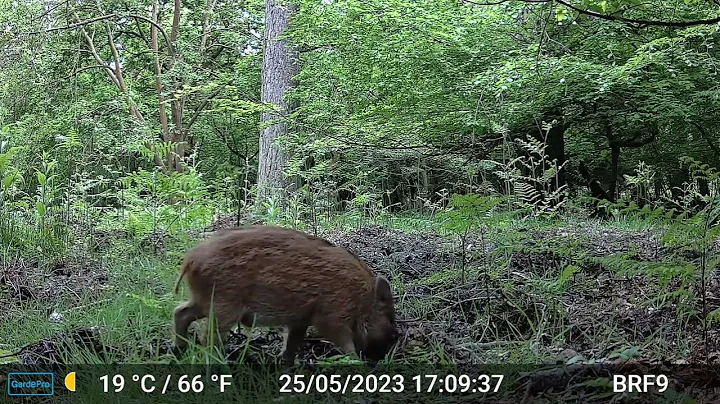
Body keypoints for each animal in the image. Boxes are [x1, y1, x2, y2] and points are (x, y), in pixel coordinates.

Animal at [172, 225, 398, 363]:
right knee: (207, 336)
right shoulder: (331, 315)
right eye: (389, 318)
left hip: (204, 301)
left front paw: (286, 363)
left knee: (180, 312)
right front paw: (357, 363)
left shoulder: (301, 319)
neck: (361, 297)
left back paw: (179, 349)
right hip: (224, 306)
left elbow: (293, 341)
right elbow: (344, 342)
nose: (384, 355)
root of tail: (190, 259)